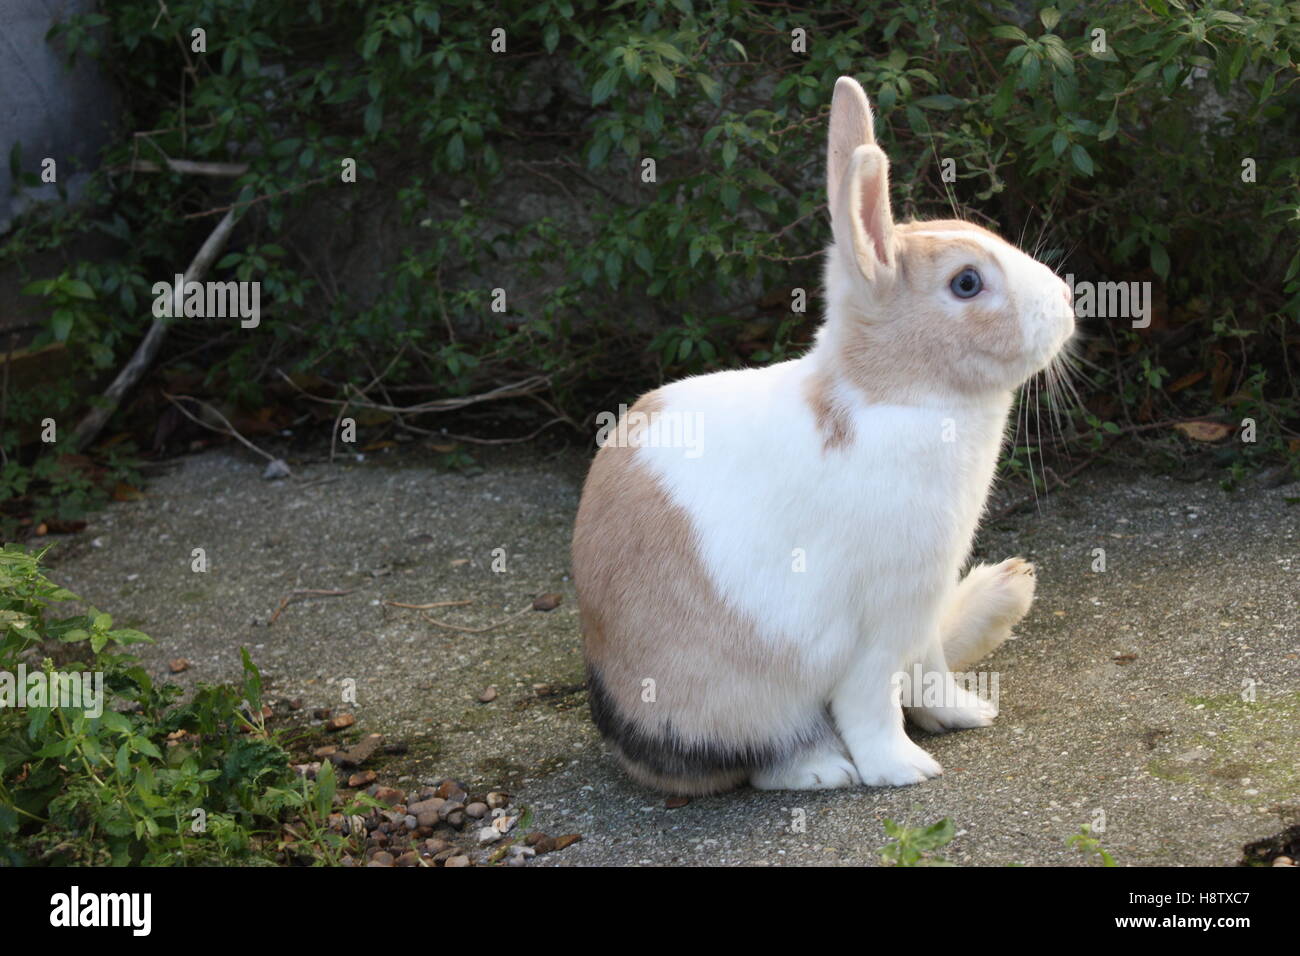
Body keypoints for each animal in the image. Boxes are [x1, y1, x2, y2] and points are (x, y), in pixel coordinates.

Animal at [572, 76, 1075, 795]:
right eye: (967, 282)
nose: (1065, 300)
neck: (892, 398)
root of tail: (626, 741)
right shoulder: (874, 626)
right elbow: (871, 702)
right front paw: (904, 770)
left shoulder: (919, 608)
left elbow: (929, 671)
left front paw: (966, 714)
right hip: (743, 696)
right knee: (767, 757)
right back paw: (823, 770)